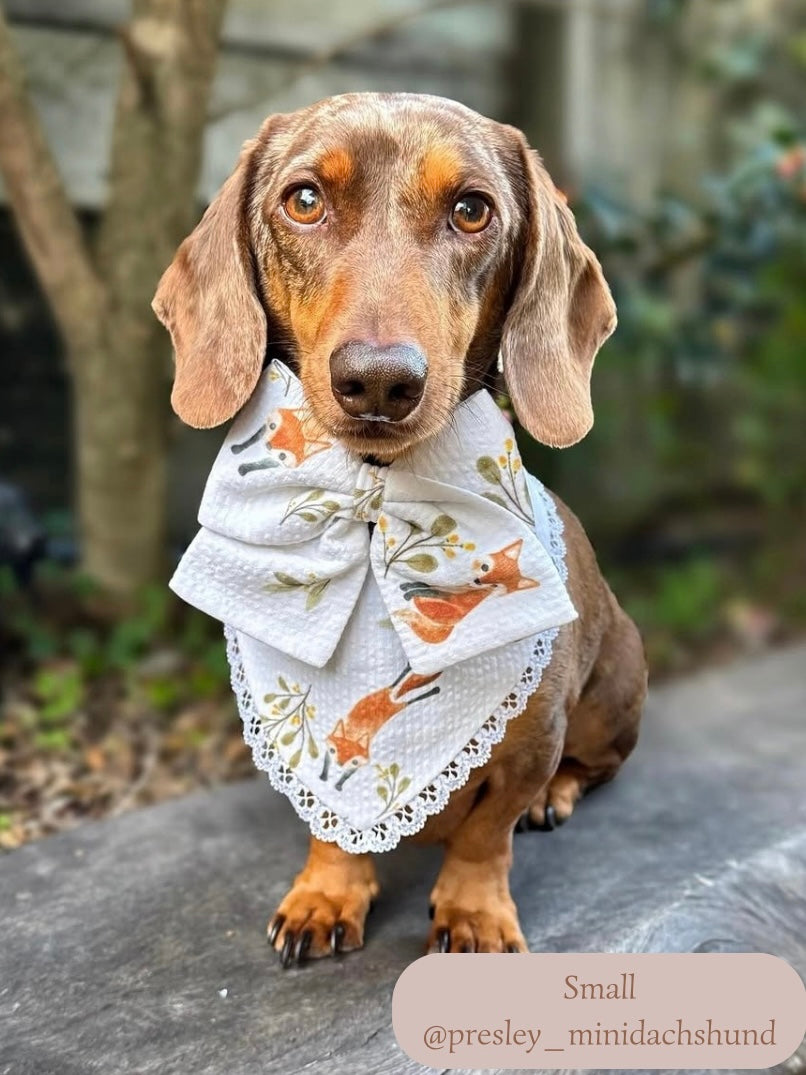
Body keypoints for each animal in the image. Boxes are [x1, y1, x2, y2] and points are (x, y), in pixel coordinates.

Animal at [395, 538, 539, 645]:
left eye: (494, 585)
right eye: (485, 567)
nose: (477, 581)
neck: (464, 586)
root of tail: (451, 626)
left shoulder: (452, 595)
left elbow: (424, 590)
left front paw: (410, 593)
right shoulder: (445, 587)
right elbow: (423, 585)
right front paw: (409, 586)